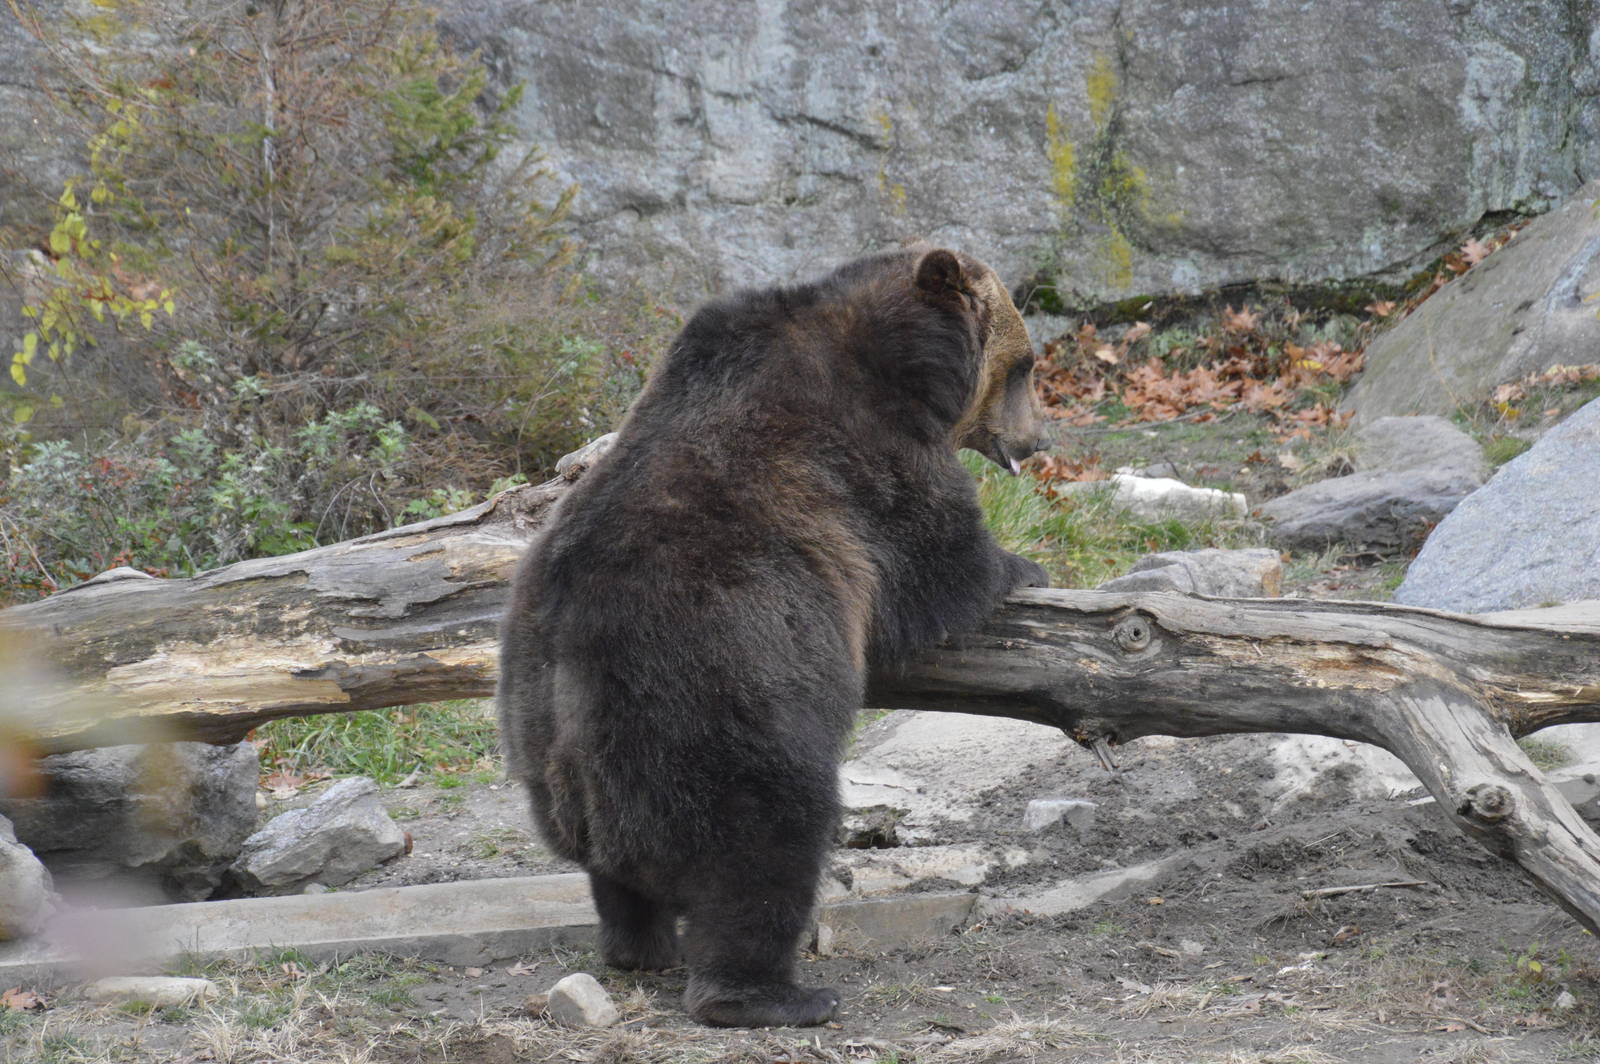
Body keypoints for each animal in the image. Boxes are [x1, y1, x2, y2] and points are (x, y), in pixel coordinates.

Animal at [497, 245, 1051, 1027]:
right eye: (1025, 363)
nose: (1039, 439)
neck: (900, 360)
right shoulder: (866, 456)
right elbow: (934, 564)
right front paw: (1021, 565)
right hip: (710, 708)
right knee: (764, 847)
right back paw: (777, 994)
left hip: (550, 756)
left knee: (617, 879)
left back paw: (639, 947)